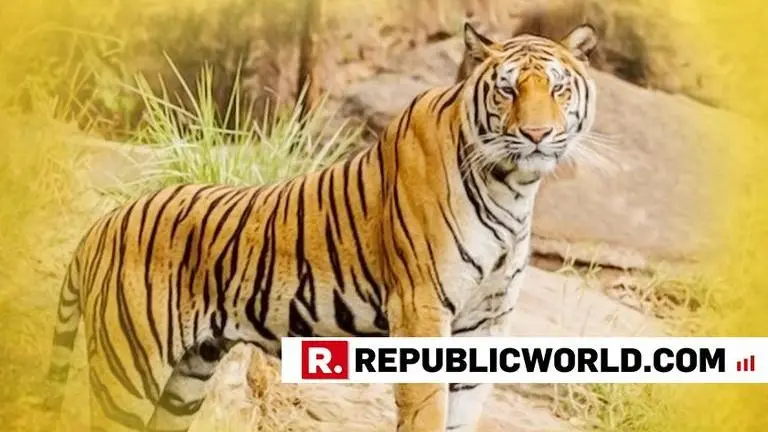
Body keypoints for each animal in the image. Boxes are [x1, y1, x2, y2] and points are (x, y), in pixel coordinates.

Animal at [41, 22, 597, 432]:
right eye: (507, 90)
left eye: (558, 88)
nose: (537, 134)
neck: (513, 187)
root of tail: (102, 225)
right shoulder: (421, 308)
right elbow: (427, 410)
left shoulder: (485, 322)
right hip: (128, 373)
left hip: (186, 378)